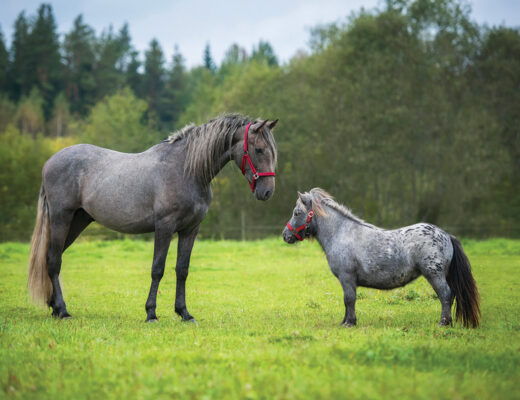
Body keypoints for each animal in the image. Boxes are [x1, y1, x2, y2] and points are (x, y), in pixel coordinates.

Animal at [27, 112, 280, 322]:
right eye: (259, 150)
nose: (267, 192)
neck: (186, 170)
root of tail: (50, 161)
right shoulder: (164, 226)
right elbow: (158, 268)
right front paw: (151, 313)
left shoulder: (190, 229)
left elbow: (182, 269)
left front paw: (184, 313)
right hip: (61, 218)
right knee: (53, 260)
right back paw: (63, 310)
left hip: (77, 221)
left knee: (52, 257)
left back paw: (55, 307)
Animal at [282, 189, 482, 326]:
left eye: (297, 213)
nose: (285, 235)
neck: (341, 233)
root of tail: (446, 235)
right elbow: (348, 301)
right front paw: (345, 321)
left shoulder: (347, 278)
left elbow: (349, 299)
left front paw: (349, 323)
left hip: (435, 275)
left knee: (446, 295)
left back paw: (443, 322)